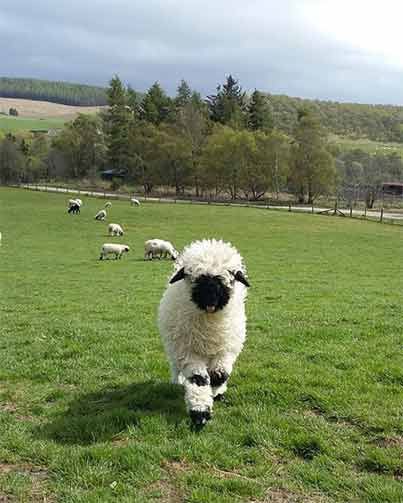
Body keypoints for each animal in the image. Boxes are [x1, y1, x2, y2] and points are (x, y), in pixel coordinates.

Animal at [158, 238, 249, 428]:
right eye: (197, 278)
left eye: (228, 278)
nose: (211, 299)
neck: (209, 325)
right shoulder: (187, 353)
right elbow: (199, 379)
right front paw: (200, 412)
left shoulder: (226, 350)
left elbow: (219, 375)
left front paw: (215, 392)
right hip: (175, 349)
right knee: (176, 368)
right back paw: (177, 382)